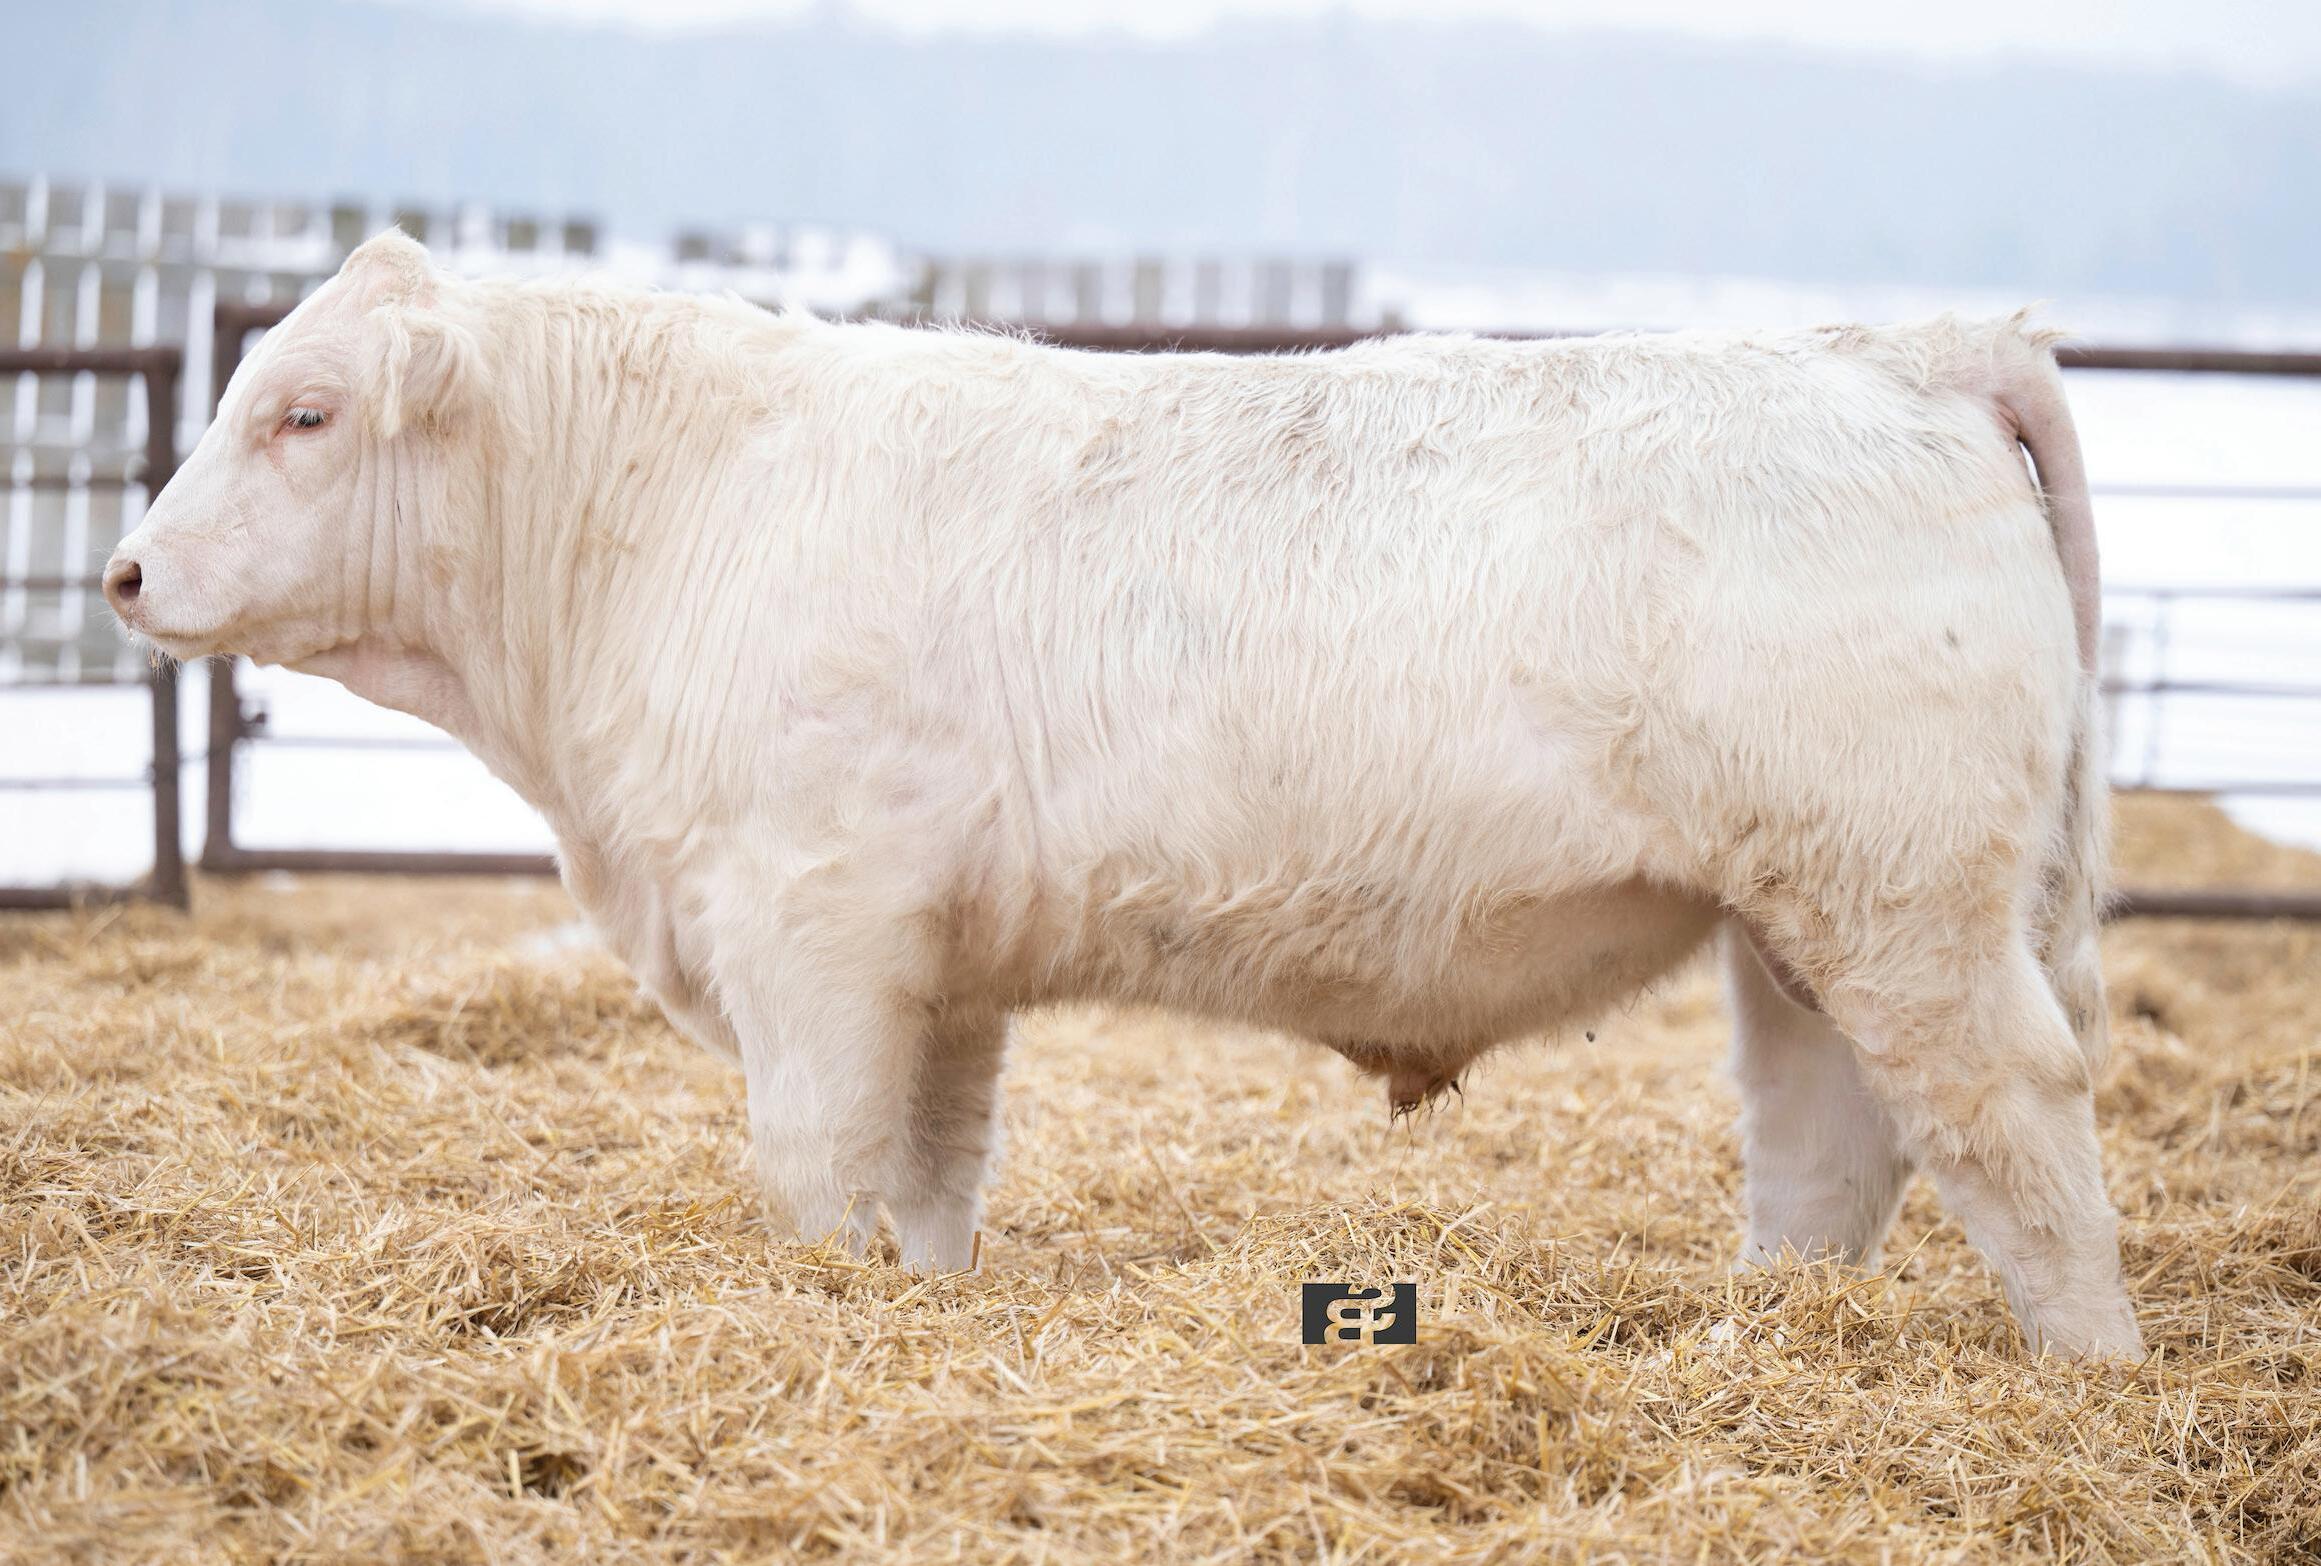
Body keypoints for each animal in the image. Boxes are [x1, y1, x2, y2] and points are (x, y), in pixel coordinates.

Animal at [105, 233, 2138, 1358]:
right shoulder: (934, 965)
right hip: (1804, 917)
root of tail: (1911, 349)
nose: (125, 573)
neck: (659, 514)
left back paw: (2090, 1376)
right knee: (1829, 1143)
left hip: (1901, 900)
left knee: (2012, 1117)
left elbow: (814, 1168)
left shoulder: (809, 924)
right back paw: (1757, 1344)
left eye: (302, 411)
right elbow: (927, 1179)